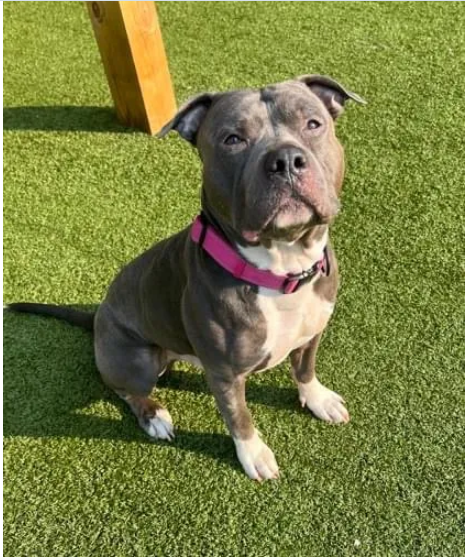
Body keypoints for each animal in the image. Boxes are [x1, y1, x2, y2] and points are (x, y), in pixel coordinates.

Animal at [8, 75, 365, 480]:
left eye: (313, 123)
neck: (280, 269)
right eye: (232, 139)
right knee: (123, 388)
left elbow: (304, 368)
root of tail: (98, 315)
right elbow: (239, 416)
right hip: (137, 360)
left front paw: (317, 398)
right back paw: (154, 416)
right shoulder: (225, 375)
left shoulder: (312, 333)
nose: (286, 160)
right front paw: (253, 454)